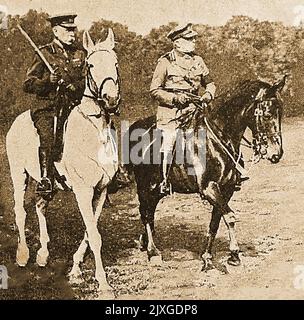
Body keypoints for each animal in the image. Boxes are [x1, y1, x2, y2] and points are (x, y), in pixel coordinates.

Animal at [5, 29, 120, 298]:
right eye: (90, 65)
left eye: (116, 63)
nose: (110, 99)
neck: (95, 132)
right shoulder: (83, 191)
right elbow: (94, 235)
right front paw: (104, 284)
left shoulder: (101, 191)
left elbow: (90, 231)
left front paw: (76, 269)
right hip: (18, 174)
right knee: (20, 211)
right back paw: (23, 255)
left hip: (48, 184)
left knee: (40, 207)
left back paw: (43, 255)